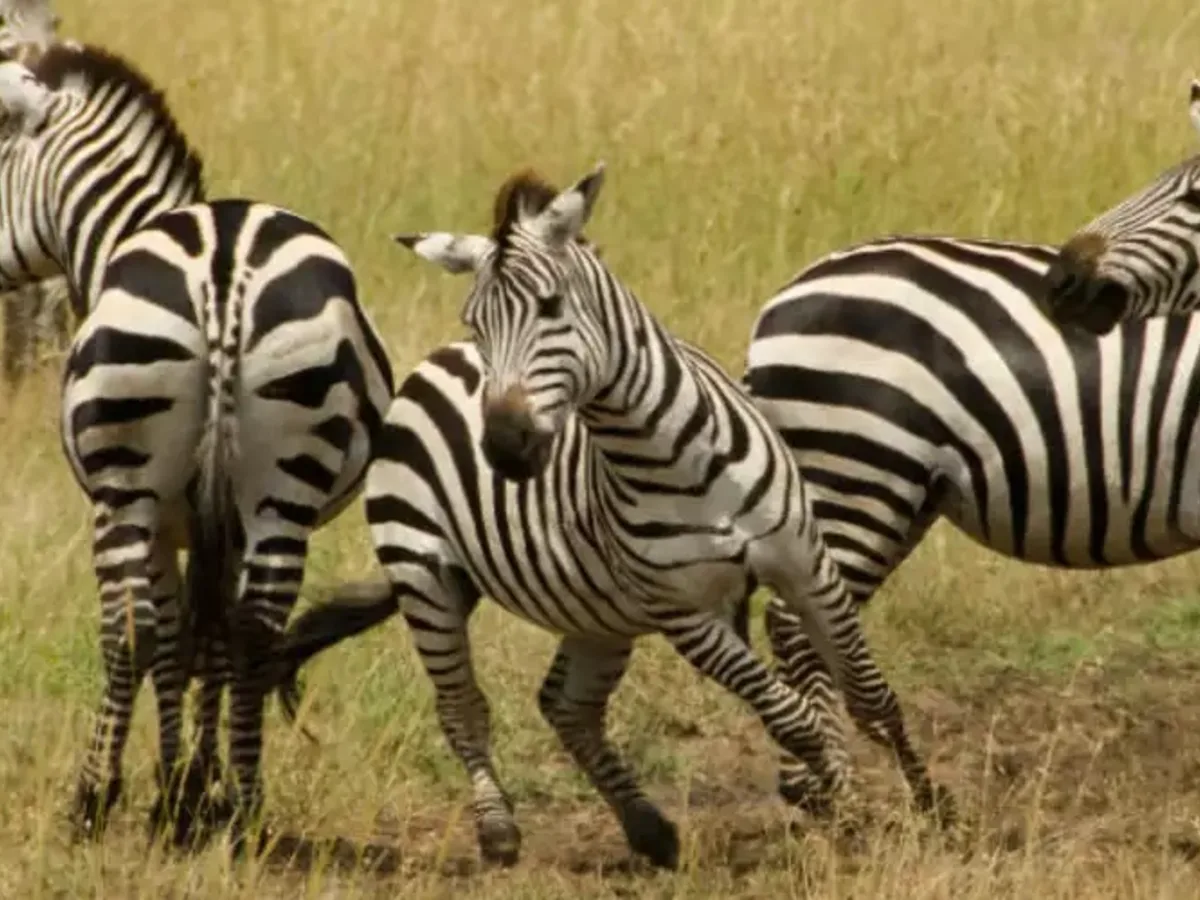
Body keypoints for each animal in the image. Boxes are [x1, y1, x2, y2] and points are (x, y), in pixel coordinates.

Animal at [0, 45, 395, 849]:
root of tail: (224, 267)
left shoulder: (162, 520)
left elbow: (174, 637)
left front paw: (171, 788)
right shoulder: (223, 522)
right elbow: (208, 638)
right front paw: (196, 790)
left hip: (127, 489)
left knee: (130, 630)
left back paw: (92, 797)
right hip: (282, 486)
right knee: (255, 629)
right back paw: (245, 805)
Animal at [263, 164, 948, 871]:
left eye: (551, 307)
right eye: (477, 321)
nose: (504, 447)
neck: (674, 455)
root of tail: (433, 361)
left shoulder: (807, 564)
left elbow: (869, 692)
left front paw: (928, 807)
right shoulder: (684, 613)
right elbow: (792, 717)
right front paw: (846, 808)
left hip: (598, 605)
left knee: (568, 706)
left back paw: (649, 829)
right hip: (426, 575)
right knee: (462, 707)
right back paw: (500, 831)